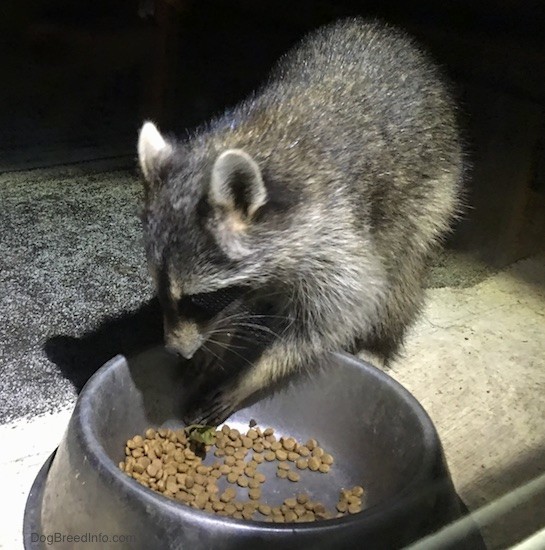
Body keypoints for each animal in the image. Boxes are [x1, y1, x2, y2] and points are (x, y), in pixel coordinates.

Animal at [136, 16, 464, 422]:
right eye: (160, 289)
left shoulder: (335, 235)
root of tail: (381, 28)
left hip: (433, 192)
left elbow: (337, 315)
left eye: (199, 299)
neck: (248, 141)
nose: (175, 350)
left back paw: (379, 342)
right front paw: (220, 336)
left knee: (401, 274)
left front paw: (254, 372)